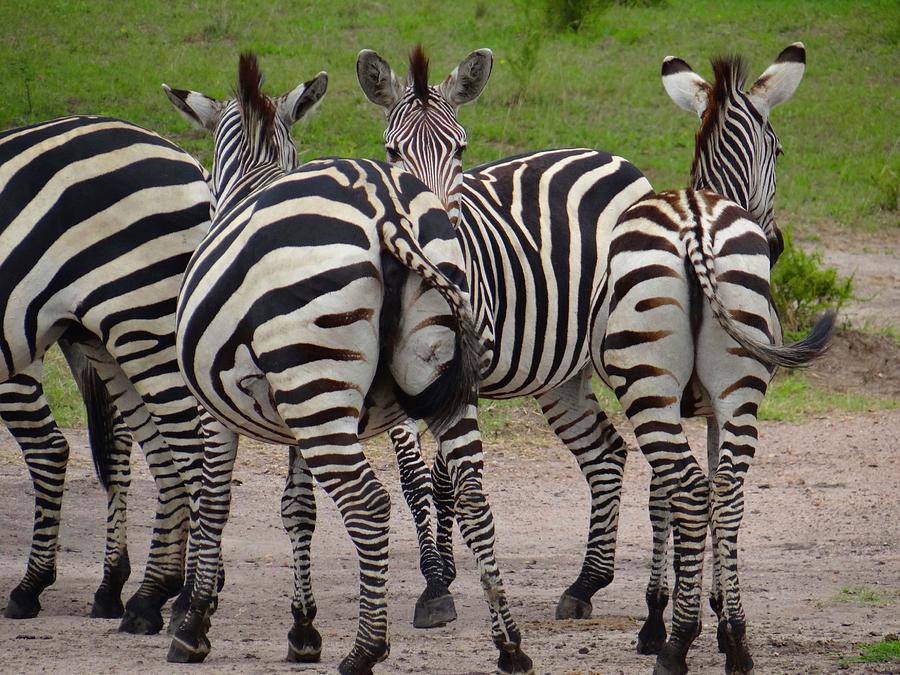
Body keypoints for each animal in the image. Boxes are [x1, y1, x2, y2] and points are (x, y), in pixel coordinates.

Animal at [0, 113, 213, 636]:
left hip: (140, 321)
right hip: (106, 335)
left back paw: (186, 600)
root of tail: (190, 163)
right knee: (153, 452)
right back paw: (145, 596)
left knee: (187, 452)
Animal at [162, 54, 536, 675]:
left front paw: (193, 627)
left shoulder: (216, 409)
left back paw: (366, 649)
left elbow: (214, 501)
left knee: (368, 504)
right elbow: (297, 507)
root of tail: (389, 214)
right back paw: (510, 645)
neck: (254, 181)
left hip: (317, 384)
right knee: (475, 497)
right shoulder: (288, 415)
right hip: (430, 380)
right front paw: (301, 630)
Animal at [354, 46, 652, 628]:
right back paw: (585, 584)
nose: (434, 235)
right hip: (561, 373)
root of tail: (612, 157)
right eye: (391, 152)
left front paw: (442, 582)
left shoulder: (461, 377)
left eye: (461, 148)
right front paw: (435, 578)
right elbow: (414, 480)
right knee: (606, 453)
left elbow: (445, 479)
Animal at [592, 43, 836, 675]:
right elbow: (706, 496)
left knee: (686, 489)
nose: (775, 244)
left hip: (649, 388)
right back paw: (740, 644)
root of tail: (697, 227)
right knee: (724, 492)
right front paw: (718, 616)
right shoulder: (709, 406)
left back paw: (675, 644)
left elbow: (661, 500)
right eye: (780, 150)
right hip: (739, 389)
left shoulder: (677, 404)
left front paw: (662, 618)